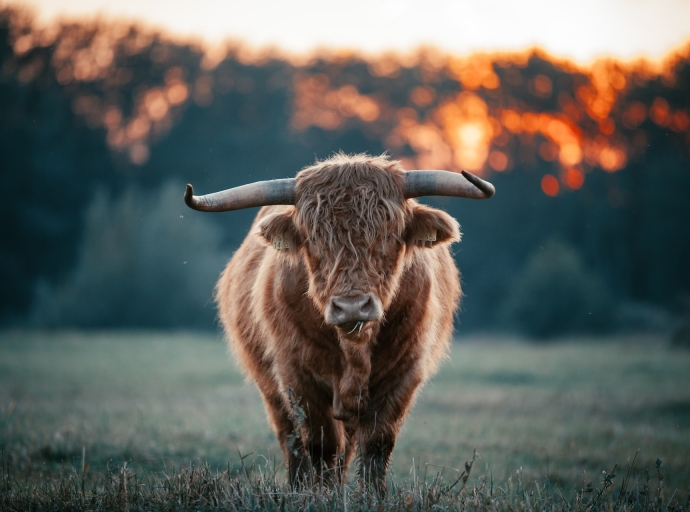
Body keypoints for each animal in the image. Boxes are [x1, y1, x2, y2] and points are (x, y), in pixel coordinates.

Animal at [184, 153, 494, 493]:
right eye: (313, 240)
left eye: (389, 236)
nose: (351, 307)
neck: (354, 349)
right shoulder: (297, 376)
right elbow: (321, 445)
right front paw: (322, 495)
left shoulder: (405, 373)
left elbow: (377, 443)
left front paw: (372, 495)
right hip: (272, 390)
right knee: (292, 441)